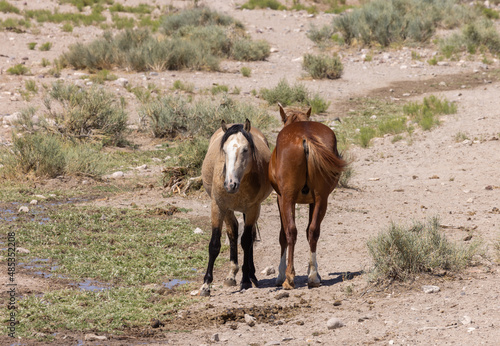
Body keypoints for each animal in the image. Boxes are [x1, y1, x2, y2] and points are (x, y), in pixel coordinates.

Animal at [198, 119, 272, 298]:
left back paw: (251, 275)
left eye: (245, 149)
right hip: (228, 210)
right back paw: (231, 275)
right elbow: (214, 245)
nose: (230, 184)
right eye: (224, 150)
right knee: (233, 232)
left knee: (250, 237)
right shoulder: (218, 207)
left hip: (250, 211)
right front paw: (206, 285)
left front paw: (245, 280)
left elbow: (246, 241)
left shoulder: (253, 208)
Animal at [268, 103, 346, 290]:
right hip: (321, 199)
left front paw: (280, 275)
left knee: (291, 232)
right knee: (313, 231)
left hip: (288, 198)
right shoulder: (313, 201)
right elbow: (309, 230)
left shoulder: (280, 198)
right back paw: (313, 277)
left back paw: (289, 277)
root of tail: (305, 137)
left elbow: (283, 235)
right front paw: (313, 271)